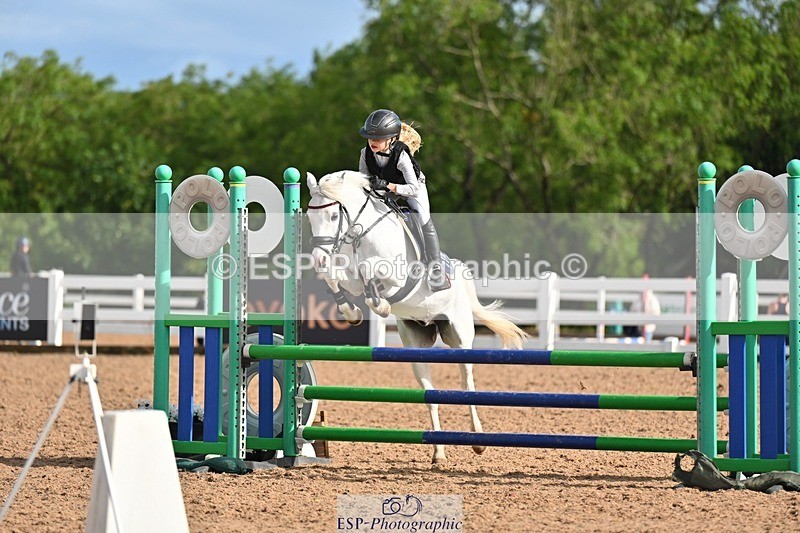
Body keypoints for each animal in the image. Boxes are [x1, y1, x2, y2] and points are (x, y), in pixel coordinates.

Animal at [305, 170, 528, 463]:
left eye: (333, 216)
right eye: (309, 216)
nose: (318, 259)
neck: (361, 235)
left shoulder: (396, 275)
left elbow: (371, 271)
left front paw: (380, 306)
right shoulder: (349, 277)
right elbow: (336, 278)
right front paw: (352, 312)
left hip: (460, 338)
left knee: (466, 382)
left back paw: (477, 440)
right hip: (417, 347)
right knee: (430, 394)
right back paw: (439, 453)